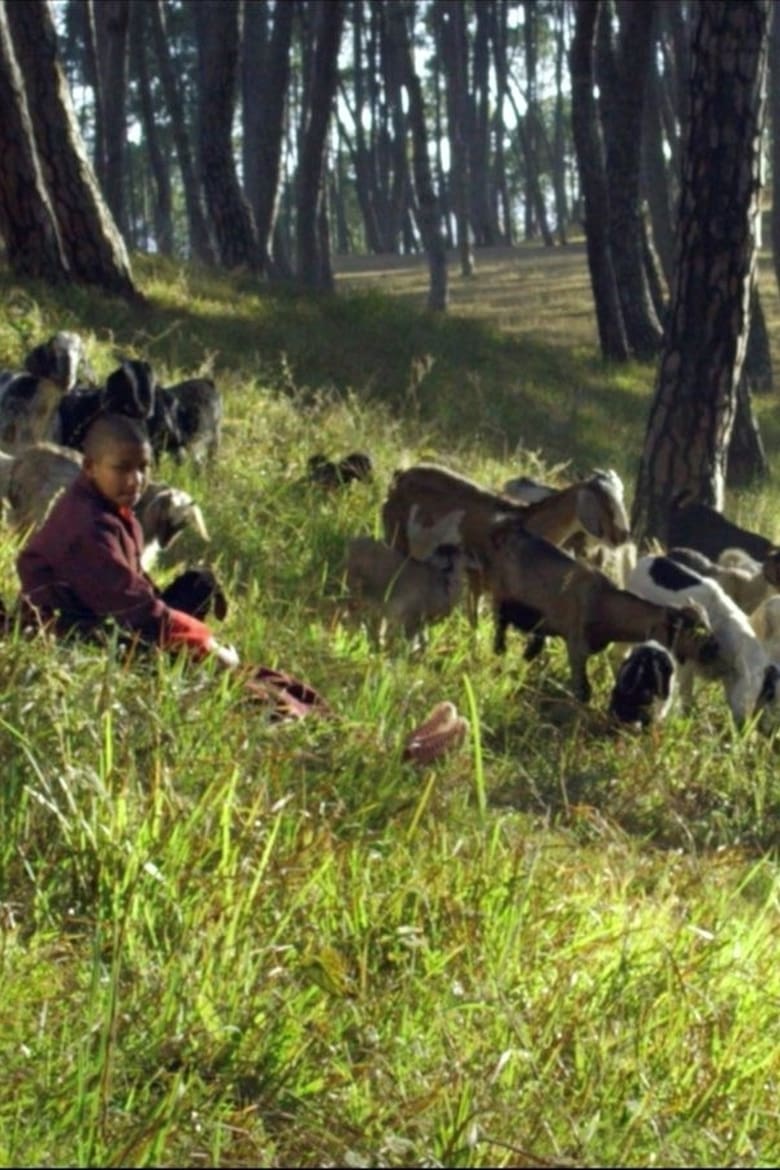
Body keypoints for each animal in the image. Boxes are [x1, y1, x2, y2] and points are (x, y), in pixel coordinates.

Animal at [382, 463, 631, 622]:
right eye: (603, 499)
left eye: (621, 496)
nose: (622, 535)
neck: (523, 521)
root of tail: (402, 475)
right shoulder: (480, 579)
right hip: (396, 537)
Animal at [484, 518, 717, 703]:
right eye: (694, 632)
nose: (713, 651)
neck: (606, 603)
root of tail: (510, 532)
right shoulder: (577, 646)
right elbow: (584, 692)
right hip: (500, 600)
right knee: (499, 637)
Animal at [627, 554, 780, 729]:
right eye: (768, 693)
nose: (770, 730)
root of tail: (646, 559)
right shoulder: (684, 662)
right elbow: (685, 692)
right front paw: (685, 719)